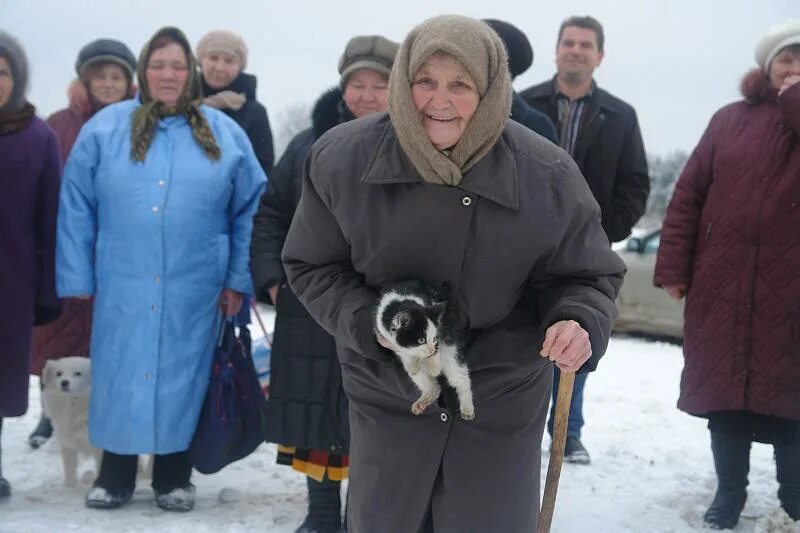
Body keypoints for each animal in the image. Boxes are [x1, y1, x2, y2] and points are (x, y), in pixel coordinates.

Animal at [41, 358, 101, 486]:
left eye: (78, 373)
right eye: (58, 373)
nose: (64, 382)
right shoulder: (67, 444)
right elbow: (69, 468)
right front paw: (69, 486)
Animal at [376, 278, 476, 420]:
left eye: (434, 338)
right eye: (421, 340)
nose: (430, 350)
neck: (401, 303)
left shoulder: (439, 332)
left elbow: (435, 354)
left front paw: (434, 368)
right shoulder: (384, 333)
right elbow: (404, 353)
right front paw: (412, 364)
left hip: (450, 341)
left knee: (458, 375)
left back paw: (467, 408)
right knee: (431, 384)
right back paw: (424, 398)